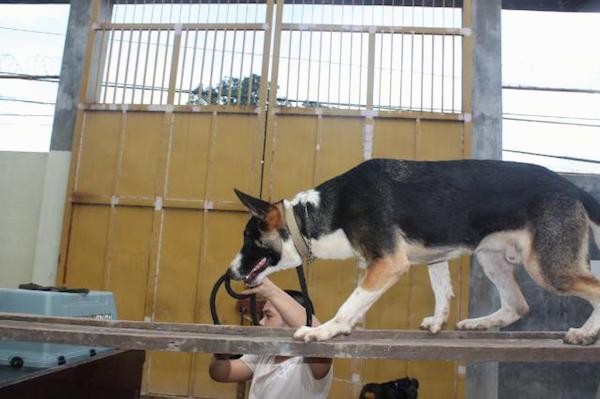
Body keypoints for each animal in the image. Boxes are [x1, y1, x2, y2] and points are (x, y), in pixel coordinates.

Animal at [227, 158, 600, 346]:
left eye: (248, 238)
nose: (231, 272)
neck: (318, 213)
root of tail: (572, 186)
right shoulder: (428, 258)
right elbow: (440, 292)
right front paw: (437, 322)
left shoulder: (389, 264)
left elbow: (350, 303)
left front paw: (326, 329)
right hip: (492, 259)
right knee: (517, 305)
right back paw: (479, 324)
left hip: (549, 269)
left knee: (592, 290)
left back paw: (585, 333)